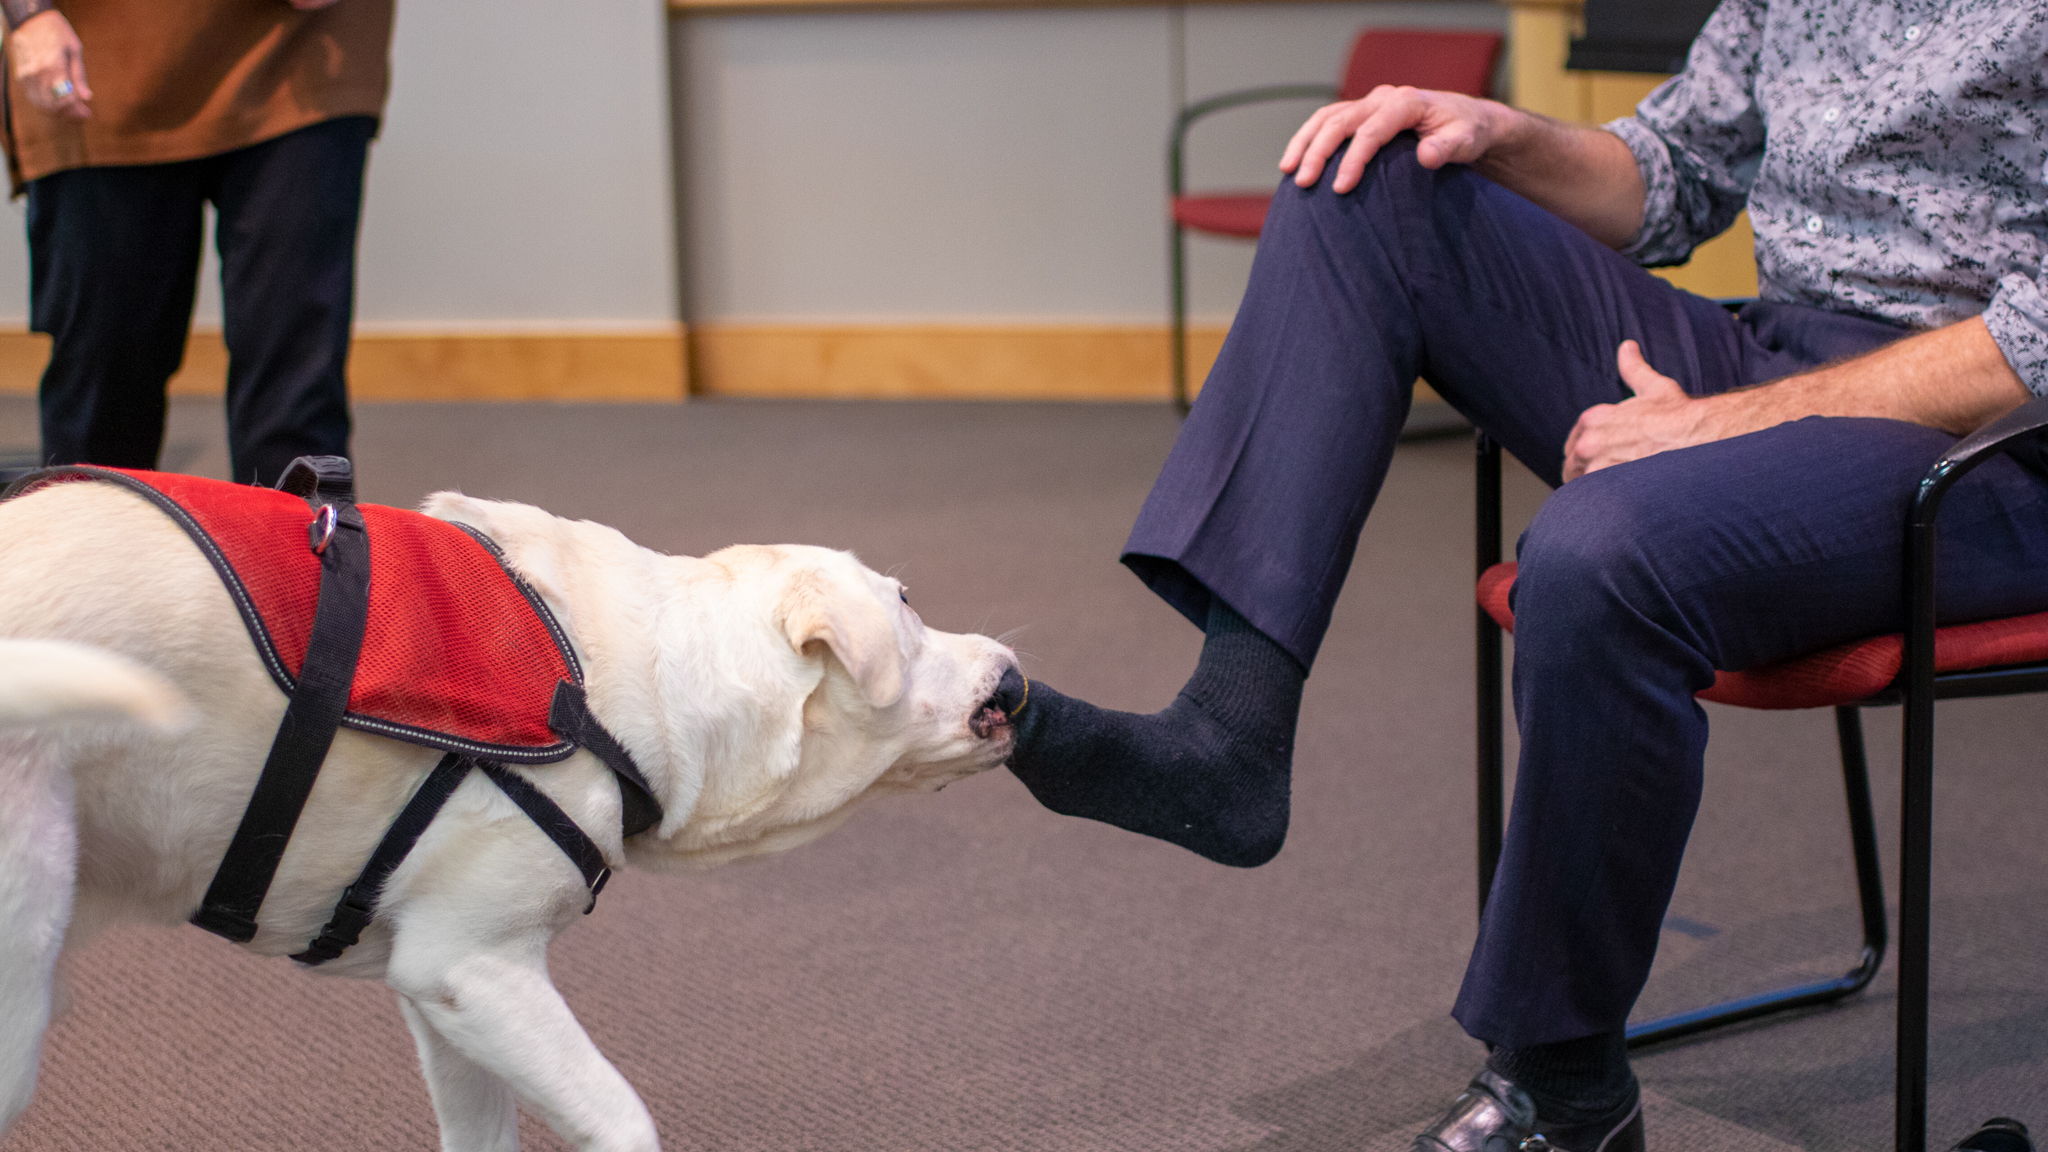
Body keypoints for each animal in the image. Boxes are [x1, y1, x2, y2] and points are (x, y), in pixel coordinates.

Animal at [0, 477, 1019, 1147]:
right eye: (906, 604)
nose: (1012, 672)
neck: (617, 683)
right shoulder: (476, 968)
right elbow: (623, 1120)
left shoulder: (437, 991)